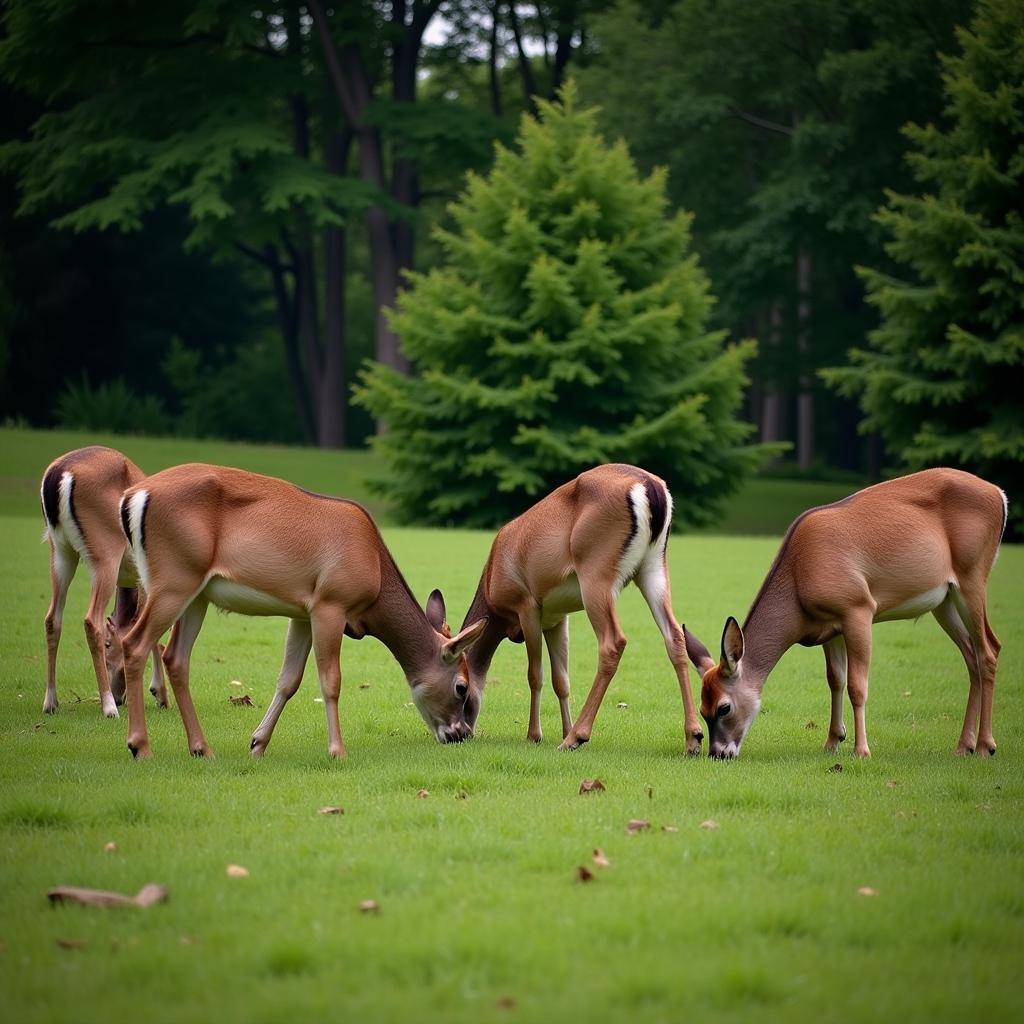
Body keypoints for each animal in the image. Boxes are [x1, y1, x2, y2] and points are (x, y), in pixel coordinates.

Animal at [39, 448, 166, 720]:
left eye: (110, 644)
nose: (120, 697)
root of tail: (59, 474)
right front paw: (160, 693)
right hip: (105, 554)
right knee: (90, 620)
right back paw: (107, 707)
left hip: (60, 551)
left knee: (52, 618)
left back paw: (51, 702)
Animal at [117, 466, 487, 761]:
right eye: (461, 687)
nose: (460, 734)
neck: (375, 569)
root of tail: (132, 496)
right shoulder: (330, 603)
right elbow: (330, 680)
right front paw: (337, 750)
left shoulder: (301, 613)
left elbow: (289, 680)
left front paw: (257, 743)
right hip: (174, 579)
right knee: (134, 643)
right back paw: (140, 746)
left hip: (196, 594)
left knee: (176, 657)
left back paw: (202, 748)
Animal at [456, 464, 704, 753]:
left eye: (460, 688)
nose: (457, 733)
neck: (491, 582)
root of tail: (651, 487)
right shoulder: (556, 617)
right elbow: (561, 679)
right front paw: (563, 728)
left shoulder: (527, 606)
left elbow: (535, 674)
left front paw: (535, 735)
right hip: (653, 567)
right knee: (675, 635)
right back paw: (693, 736)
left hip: (595, 574)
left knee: (613, 642)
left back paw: (577, 736)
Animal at [688, 468, 1007, 761]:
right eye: (702, 708)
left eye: (724, 707)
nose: (718, 753)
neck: (799, 580)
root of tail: (999, 494)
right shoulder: (830, 628)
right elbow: (835, 679)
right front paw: (832, 741)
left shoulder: (858, 607)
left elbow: (857, 685)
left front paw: (861, 750)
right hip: (944, 600)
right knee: (971, 656)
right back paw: (963, 745)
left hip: (972, 575)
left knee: (989, 649)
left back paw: (985, 746)